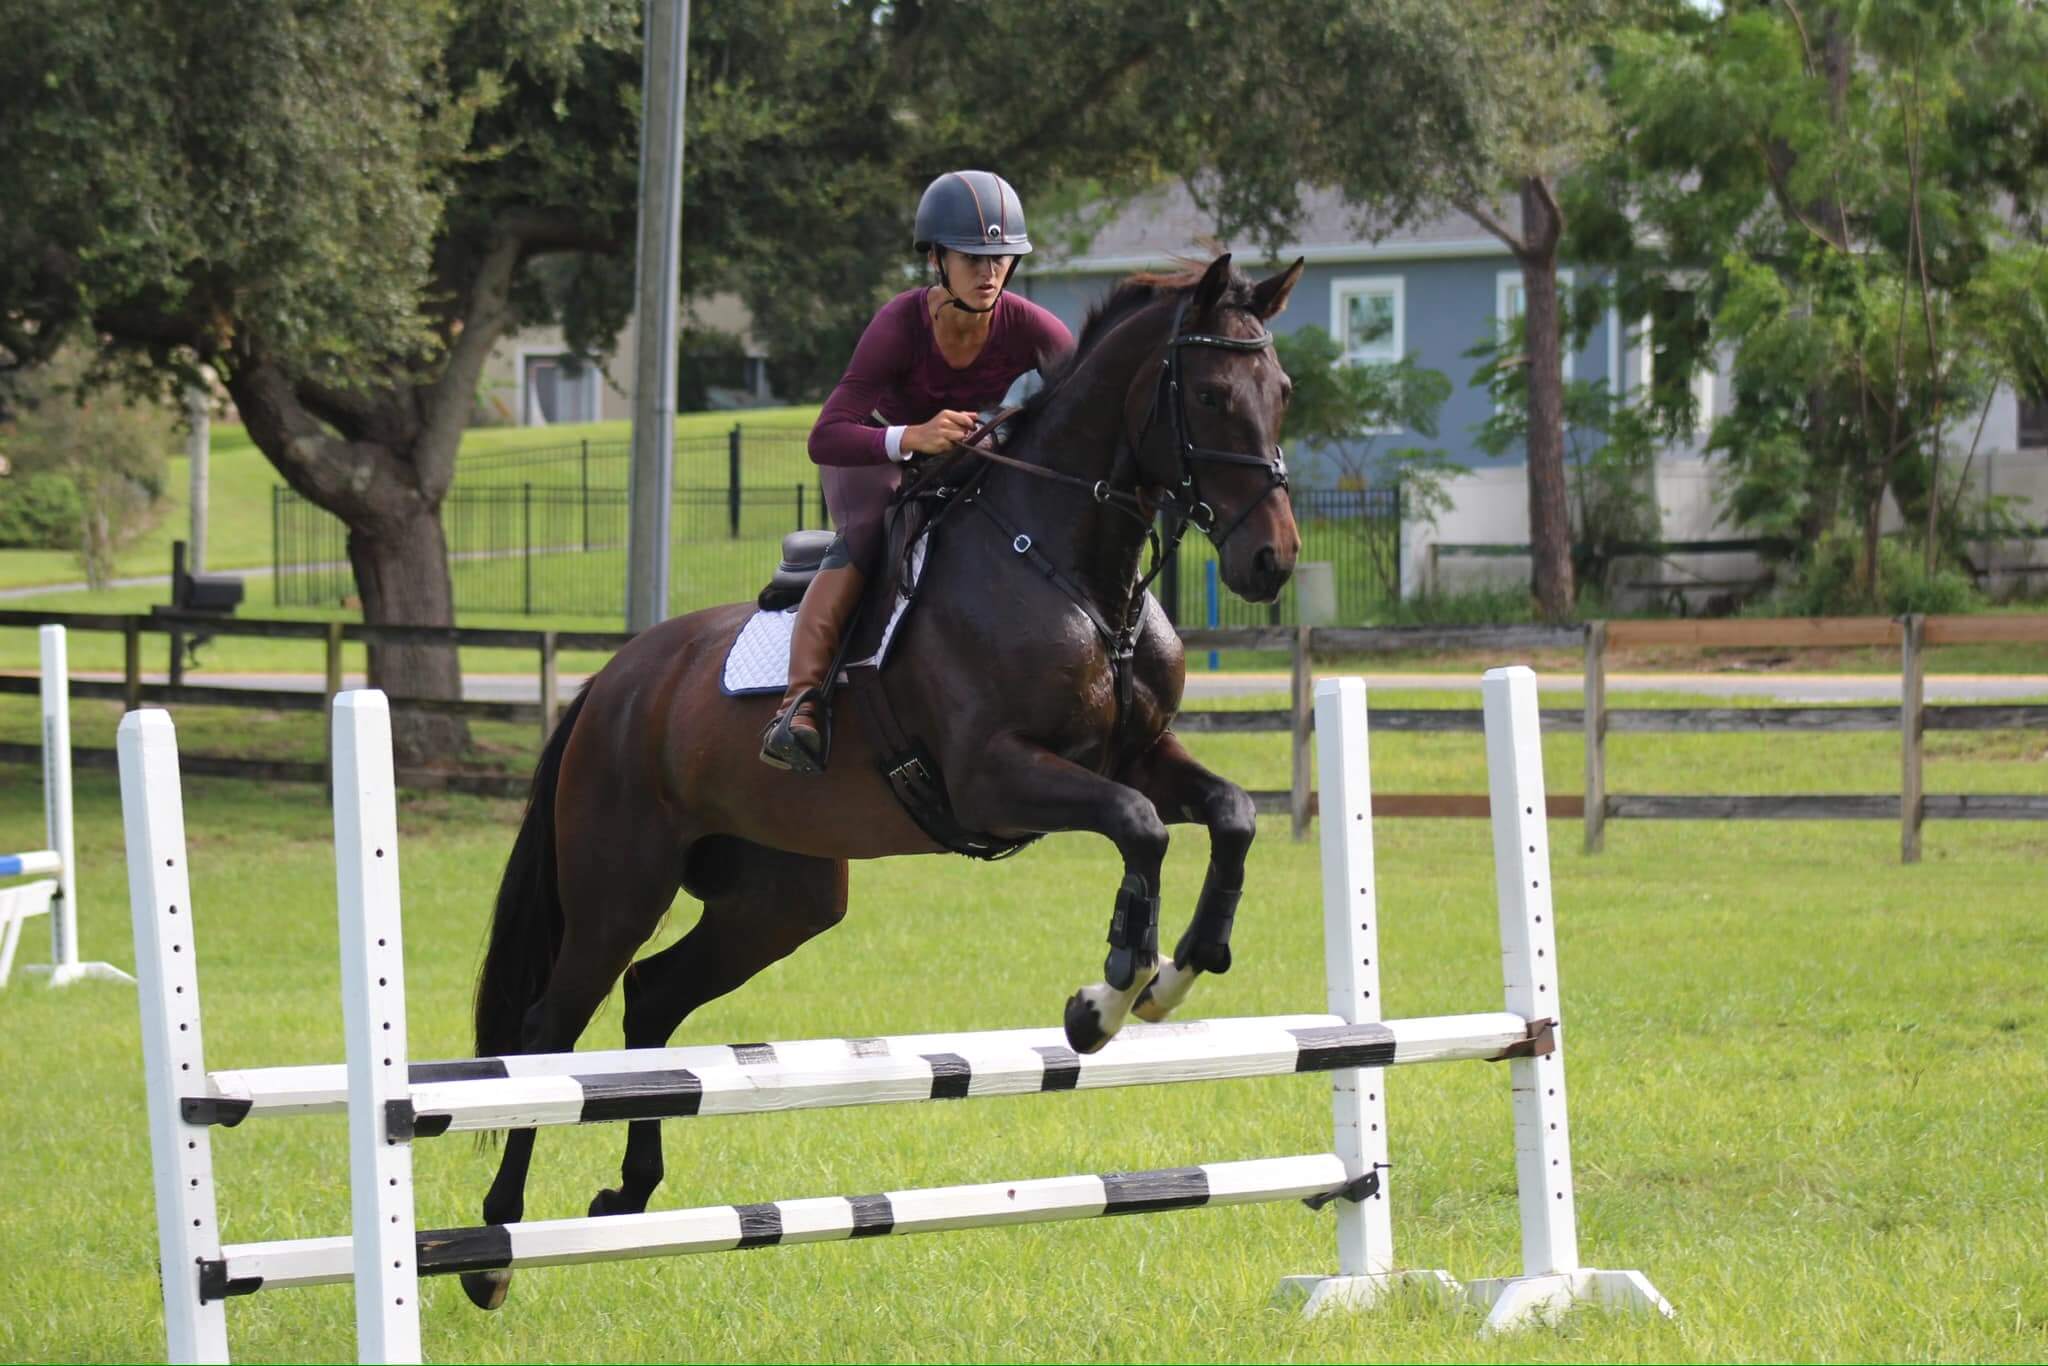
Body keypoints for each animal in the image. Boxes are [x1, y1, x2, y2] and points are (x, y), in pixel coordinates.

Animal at [461, 252, 1305, 1311]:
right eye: (1208, 395)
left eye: (1283, 391)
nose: (1273, 560)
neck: (1072, 566)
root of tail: (611, 682)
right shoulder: (996, 776)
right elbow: (1141, 827)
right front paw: (1106, 999)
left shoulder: (1139, 752)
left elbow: (1228, 814)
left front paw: (1182, 970)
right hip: (620, 884)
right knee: (546, 1029)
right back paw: (493, 1246)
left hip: (780, 899)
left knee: (652, 998)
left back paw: (628, 1192)